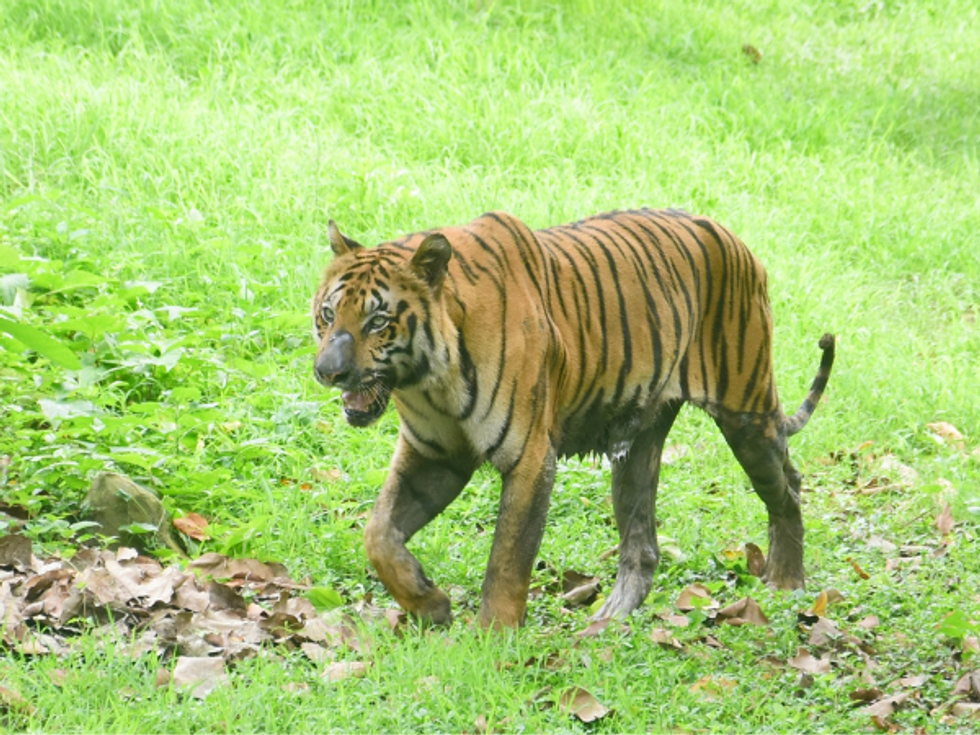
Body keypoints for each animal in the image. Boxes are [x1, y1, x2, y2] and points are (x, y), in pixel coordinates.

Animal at [312, 208, 835, 629]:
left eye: (378, 322)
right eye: (328, 314)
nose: (327, 372)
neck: (429, 380)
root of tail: (737, 240)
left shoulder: (530, 457)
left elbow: (507, 560)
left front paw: (491, 641)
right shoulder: (435, 455)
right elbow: (379, 535)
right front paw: (431, 604)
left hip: (746, 412)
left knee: (788, 488)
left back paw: (786, 583)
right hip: (637, 451)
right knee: (643, 548)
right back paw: (606, 623)